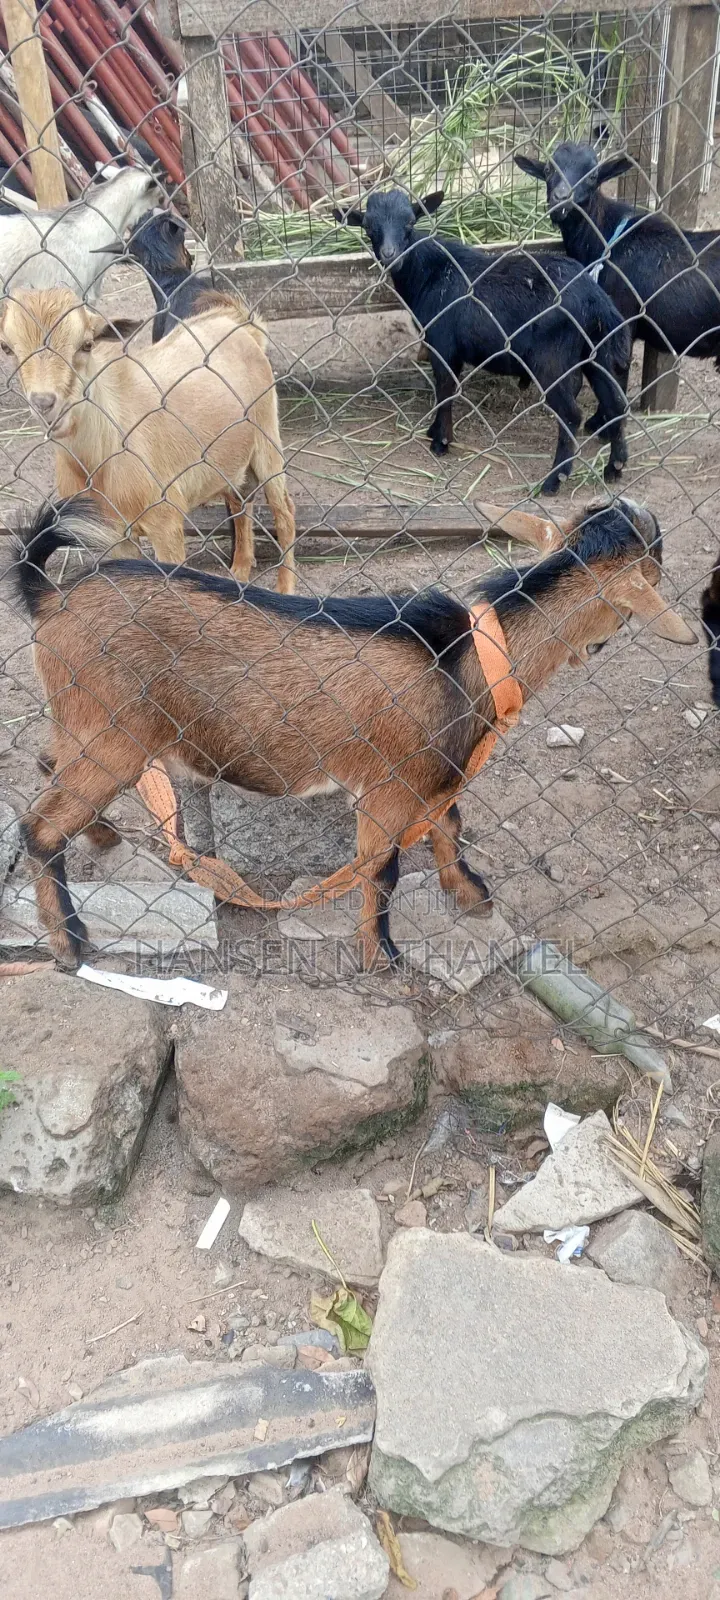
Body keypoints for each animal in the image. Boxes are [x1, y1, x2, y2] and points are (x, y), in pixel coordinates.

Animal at [0, 288, 296, 585]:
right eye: (7, 348)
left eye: (87, 344)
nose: (44, 403)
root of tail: (242, 326)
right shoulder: (113, 534)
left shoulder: (166, 522)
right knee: (240, 502)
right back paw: (240, 572)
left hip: (268, 439)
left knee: (284, 510)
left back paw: (285, 586)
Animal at [13, 495, 695, 972]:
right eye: (655, 574)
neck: (471, 657)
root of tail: (49, 598)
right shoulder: (387, 788)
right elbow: (380, 871)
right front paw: (380, 956)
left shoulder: (429, 779)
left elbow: (449, 825)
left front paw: (469, 894)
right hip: (112, 735)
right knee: (39, 825)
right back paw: (69, 943)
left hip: (82, 724)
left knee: (47, 769)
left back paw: (102, 835)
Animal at [336, 189, 631, 495]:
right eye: (369, 227)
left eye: (409, 223)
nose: (390, 256)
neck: (430, 272)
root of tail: (595, 299)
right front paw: (434, 431)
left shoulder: (443, 346)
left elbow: (445, 391)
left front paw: (441, 442)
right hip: (594, 352)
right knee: (615, 405)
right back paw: (615, 466)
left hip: (552, 359)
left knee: (571, 414)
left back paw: (554, 480)